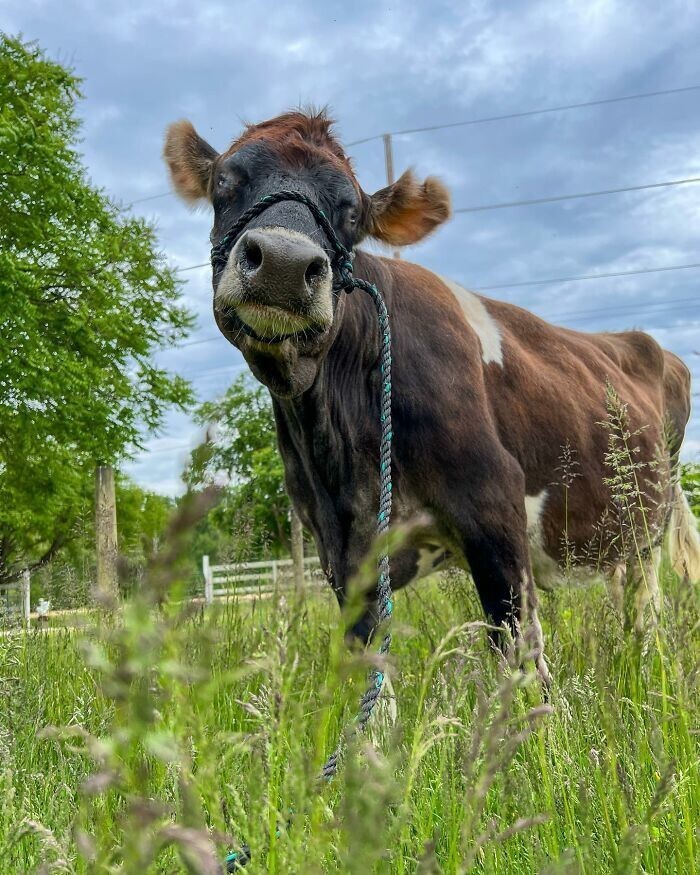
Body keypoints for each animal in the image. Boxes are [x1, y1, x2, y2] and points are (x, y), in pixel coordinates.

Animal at [163, 111, 700, 684]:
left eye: (352, 211)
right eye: (226, 181)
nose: (284, 263)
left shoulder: (495, 503)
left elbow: (522, 656)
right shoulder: (341, 554)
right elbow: (370, 673)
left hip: (648, 527)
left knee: (645, 607)